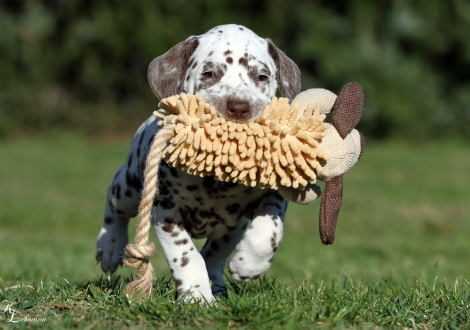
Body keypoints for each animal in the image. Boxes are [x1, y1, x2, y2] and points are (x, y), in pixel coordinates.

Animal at [95, 23, 302, 302]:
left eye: (261, 76)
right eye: (209, 73)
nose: (239, 107)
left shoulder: (270, 196)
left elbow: (269, 229)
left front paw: (249, 265)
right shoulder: (166, 211)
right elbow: (187, 256)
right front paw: (197, 295)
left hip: (232, 227)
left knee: (215, 254)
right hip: (128, 188)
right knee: (114, 202)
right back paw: (109, 247)